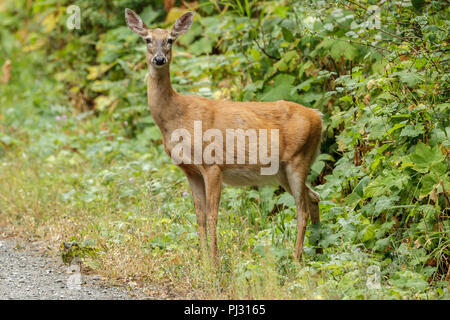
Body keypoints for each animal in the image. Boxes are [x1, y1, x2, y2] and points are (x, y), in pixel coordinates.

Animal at [125, 8, 324, 262]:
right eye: (147, 40)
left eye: (170, 40)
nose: (159, 59)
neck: (176, 117)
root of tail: (318, 117)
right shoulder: (190, 170)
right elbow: (199, 215)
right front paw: (202, 261)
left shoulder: (212, 164)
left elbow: (212, 215)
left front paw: (215, 261)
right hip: (281, 171)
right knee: (314, 197)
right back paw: (318, 250)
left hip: (298, 158)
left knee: (302, 208)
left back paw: (297, 260)